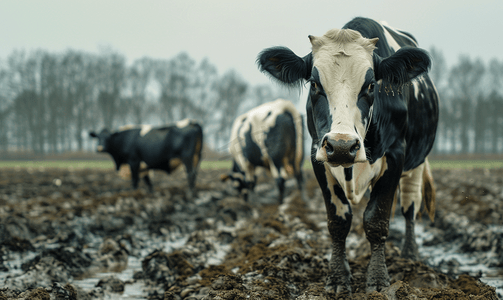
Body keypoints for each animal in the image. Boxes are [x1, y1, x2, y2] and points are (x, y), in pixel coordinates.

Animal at [258, 17, 440, 294]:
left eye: (371, 85)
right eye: (314, 84)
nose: (342, 145)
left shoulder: (395, 155)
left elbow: (376, 220)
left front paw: (378, 280)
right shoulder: (318, 155)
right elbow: (338, 221)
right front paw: (337, 278)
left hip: (417, 162)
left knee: (410, 204)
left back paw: (410, 255)